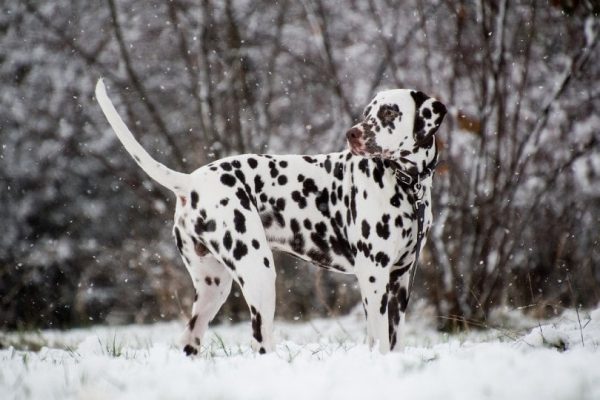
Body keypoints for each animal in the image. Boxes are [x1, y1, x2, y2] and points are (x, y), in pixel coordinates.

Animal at [95, 79, 446, 354]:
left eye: (389, 112)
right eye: (367, 113)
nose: (352, 134)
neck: (406, 183)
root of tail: (191, 181)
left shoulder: (400, 279)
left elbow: (393, 340)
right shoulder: (373, 276)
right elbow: (379, 340)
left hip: (213, 287)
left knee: (189, 340)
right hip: (259, 275)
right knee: (260, 342)